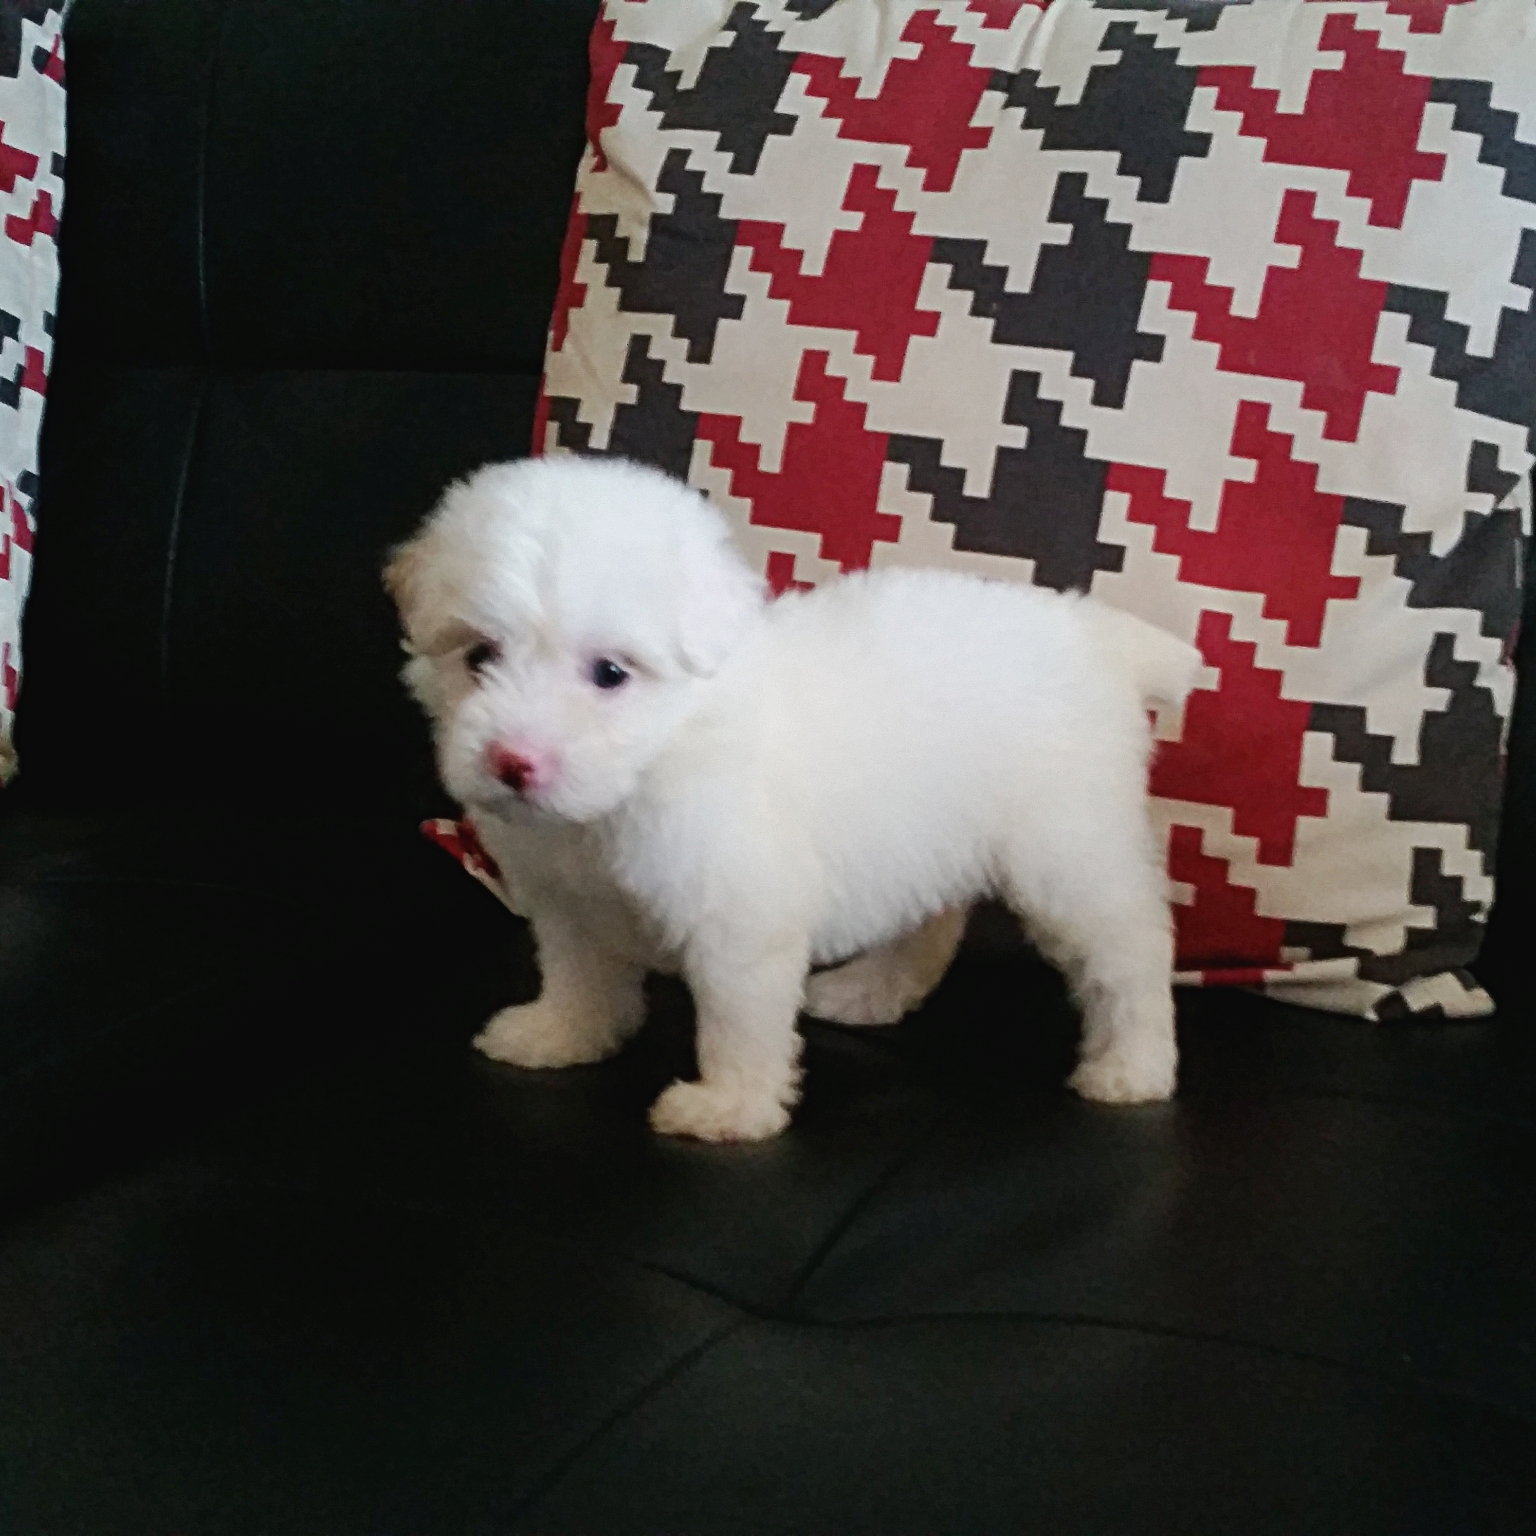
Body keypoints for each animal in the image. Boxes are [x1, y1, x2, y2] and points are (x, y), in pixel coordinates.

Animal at [385, 455, 1202, 1143]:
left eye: (610, 673)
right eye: (479, 656)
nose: (512, 762)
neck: (656, 758)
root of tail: (1095, 634)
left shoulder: (738, 917)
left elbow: (737, 1020)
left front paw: (731, 1107)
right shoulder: (568, 902)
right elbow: (578, 973)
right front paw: (561, 1033)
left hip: (1069, 849)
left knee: (1129, 947)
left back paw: (1132, 1067)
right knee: (931, 925)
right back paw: (870, 992)